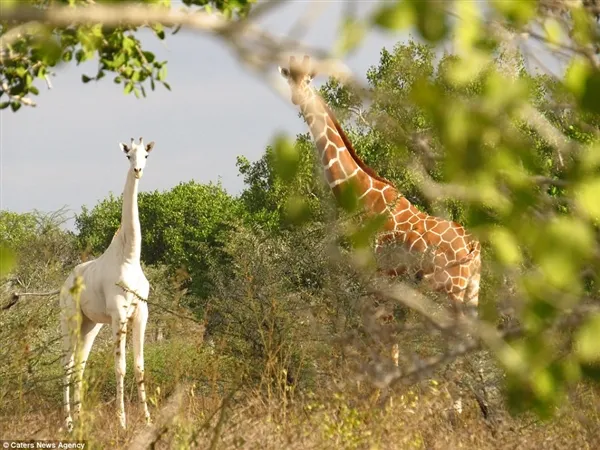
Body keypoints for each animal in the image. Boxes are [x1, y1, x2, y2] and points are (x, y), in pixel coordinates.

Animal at [59, 137, 155, 432]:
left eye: (146, 155)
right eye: (128, 156)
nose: (138, 171)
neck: (129, 257)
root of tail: (65, 284)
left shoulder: (141, 313)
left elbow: (140, 366)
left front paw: (148, 420)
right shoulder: (118, 313)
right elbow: (120, 366)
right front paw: (122, 421)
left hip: (90, 325)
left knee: (80, 365)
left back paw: (80, 419)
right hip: (70, 320)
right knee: (67, 365)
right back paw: (68, 422)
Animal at [278, 56, 482, 366]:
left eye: (309, 79)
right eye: (289, 76)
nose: (297, 97)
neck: (365, 197)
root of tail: (473, 244)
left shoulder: (379, 277)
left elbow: (383, 338)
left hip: (452, 288)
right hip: (472, 288)